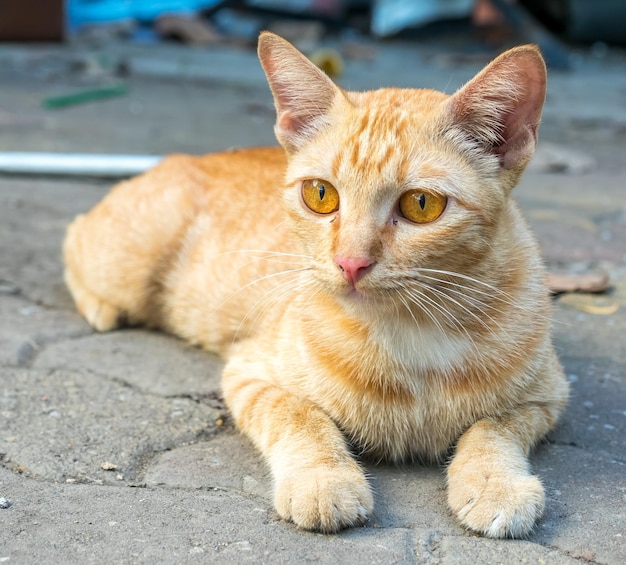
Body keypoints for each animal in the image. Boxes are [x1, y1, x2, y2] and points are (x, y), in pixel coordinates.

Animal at [62, 30, 564, 536]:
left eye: (421, 204)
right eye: (320, 195)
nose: (350, 263)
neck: (413, 337)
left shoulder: (547, 396)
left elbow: (492, 428)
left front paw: (494, 481)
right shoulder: (249, 372)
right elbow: (300, 415)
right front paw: (323, 480)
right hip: (125, 261)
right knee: (73, 233)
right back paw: (101, 306)